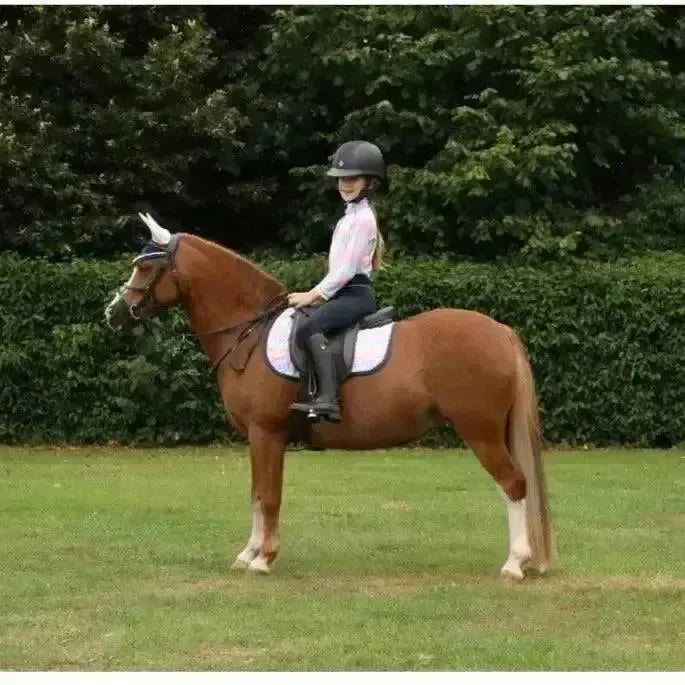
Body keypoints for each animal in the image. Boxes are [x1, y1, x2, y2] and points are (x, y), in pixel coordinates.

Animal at [105, 213, 556, 580]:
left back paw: (515, 563)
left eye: (145, 266)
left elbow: (269, 496)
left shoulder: (266, 433)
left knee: (513, 484)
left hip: (480, 431)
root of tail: (501, 330)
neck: (250, 331)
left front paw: (263, 559)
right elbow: (256, 494)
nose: (113, 313)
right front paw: (248, 552)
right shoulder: (257, 438)